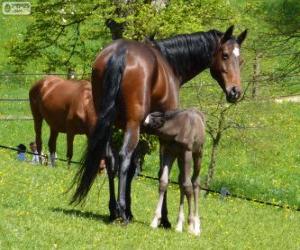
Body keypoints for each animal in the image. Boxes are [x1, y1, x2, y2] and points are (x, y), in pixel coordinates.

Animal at [71, 25, 247, 225]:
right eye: (225, 55)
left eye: (240, 60)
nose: (235, 92)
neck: (169, 63)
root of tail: (120, 52)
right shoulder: (164, 137)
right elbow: (163, 174)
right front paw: (164, 219)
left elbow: (133, 169)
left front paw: (130, 211)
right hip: (132, 126)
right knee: (123, 157)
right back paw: (121, 212)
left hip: (108, 124)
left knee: (110, 159)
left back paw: (113, 210)